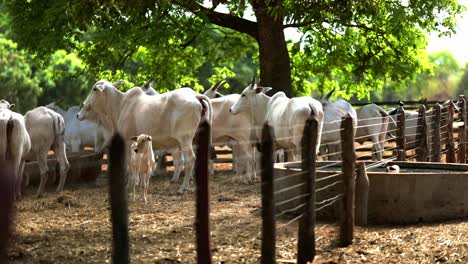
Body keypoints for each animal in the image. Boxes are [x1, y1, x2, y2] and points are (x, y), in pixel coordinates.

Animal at [77, 79, 212, 193]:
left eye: (94, 89)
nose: (83, 106)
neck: (120, 105)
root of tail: (195, 96)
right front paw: (138, 183)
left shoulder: (127, 141)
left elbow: (130, 164)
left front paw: (130, 185)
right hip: (194, 139)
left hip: (185, 138)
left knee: (190, 159)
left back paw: (182, 188)